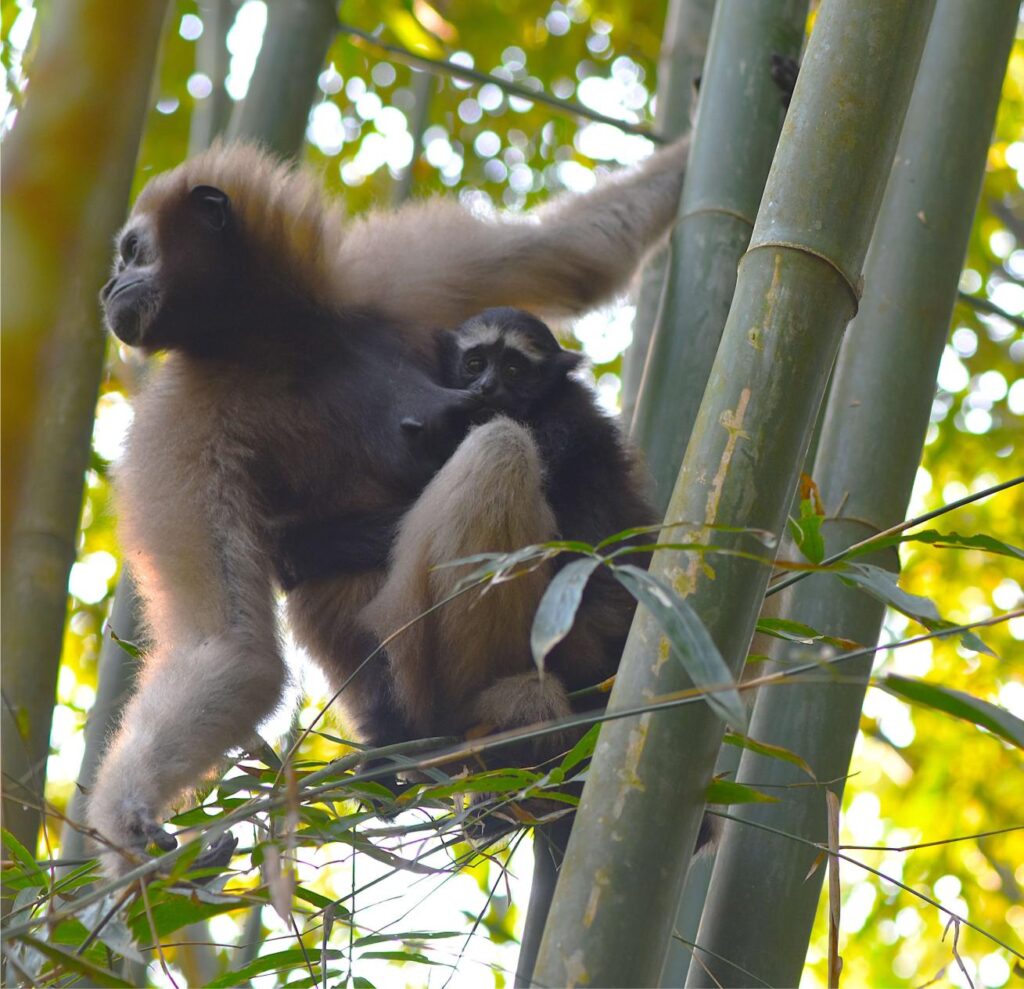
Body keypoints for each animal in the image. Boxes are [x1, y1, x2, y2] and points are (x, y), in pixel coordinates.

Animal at [86, 136, 689, 877]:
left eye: (133, 252)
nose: (109, 288)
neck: (276, 344)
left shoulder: (384, 279)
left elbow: (576, 250)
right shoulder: (178, 427)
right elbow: (229, 650)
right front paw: (128, 824)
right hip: (414, 666)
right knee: (500, 451)